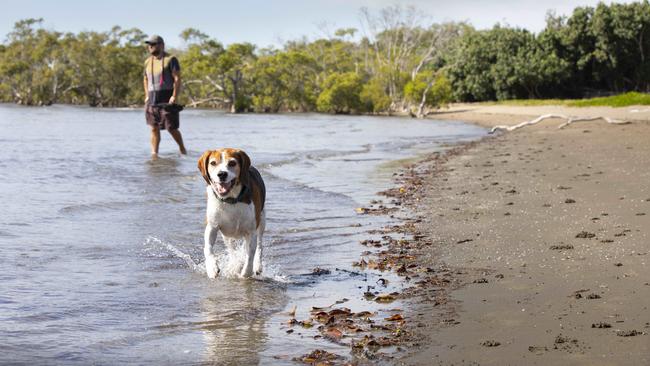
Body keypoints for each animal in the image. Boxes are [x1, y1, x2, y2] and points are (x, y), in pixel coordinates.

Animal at [199, 148, 268, 278]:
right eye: (213, 163)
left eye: (232, 163)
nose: (221, 174)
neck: (231, 200)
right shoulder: (212, 226)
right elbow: (208, 248)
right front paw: (212, 268)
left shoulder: (251, 231)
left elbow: (250, 255)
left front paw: (246, 273)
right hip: (226, 235)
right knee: (231, 249)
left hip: (262, 221)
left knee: (260, 245)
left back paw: (257, 266)